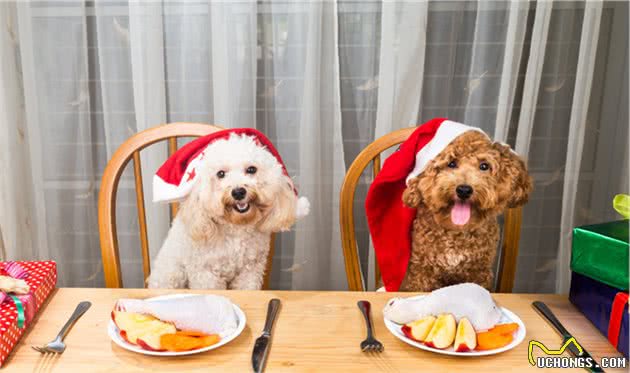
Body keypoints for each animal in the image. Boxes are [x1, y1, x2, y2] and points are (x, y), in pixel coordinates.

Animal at [146, 132, 308, 290]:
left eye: (251, 169)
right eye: (221, 174)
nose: (238, 192)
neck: (236, 227)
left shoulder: (250, 270)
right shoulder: (205, 273)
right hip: (171, 274)